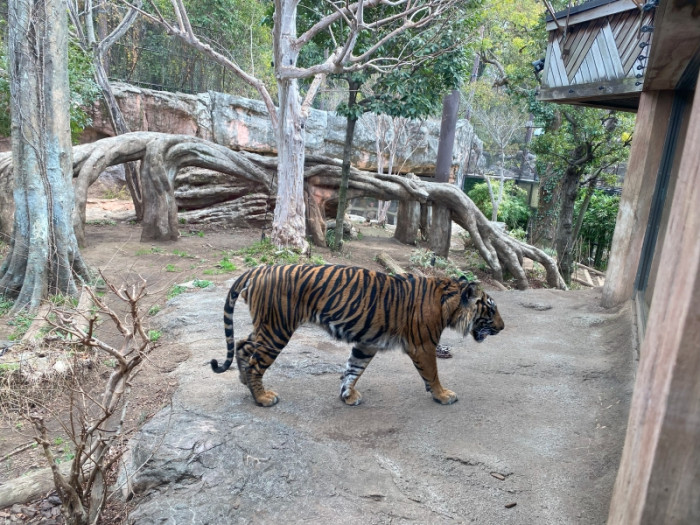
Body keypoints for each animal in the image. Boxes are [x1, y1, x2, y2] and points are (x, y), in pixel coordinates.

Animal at [211, 262, 506, 406]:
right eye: (491, 309)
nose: (503, 327)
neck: (449, 302)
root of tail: (259, 268)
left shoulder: (367, 343)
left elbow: (353, 369)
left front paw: (347, 395)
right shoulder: (423, 345)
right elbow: (432, 374)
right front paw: (443, 395)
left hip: (267, 326)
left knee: (242, 344)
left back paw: (245, 382)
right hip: (277, 328)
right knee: (255, 359)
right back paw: (262, 398)